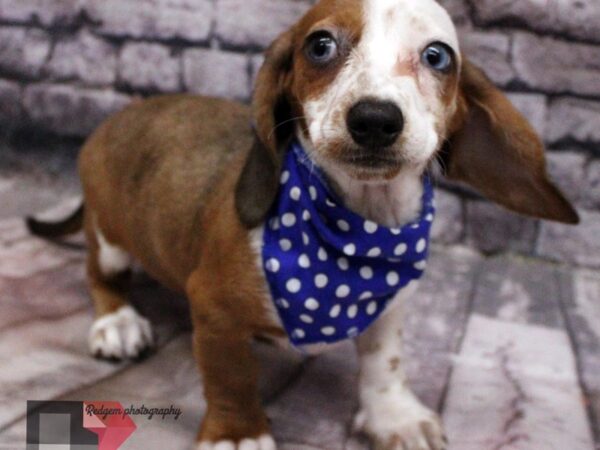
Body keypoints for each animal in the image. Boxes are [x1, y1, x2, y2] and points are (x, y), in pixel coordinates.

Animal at [27, 0, 576, 450]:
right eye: (320, 45)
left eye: (437, 56)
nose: (375, 120)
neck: (358, 226)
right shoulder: (213, 306)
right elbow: (230, 375)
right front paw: (237, 434)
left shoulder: (388, 304)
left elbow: (385, 361)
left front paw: (393, 415)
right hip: (110, 240)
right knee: (100, 274)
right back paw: (116, 321)